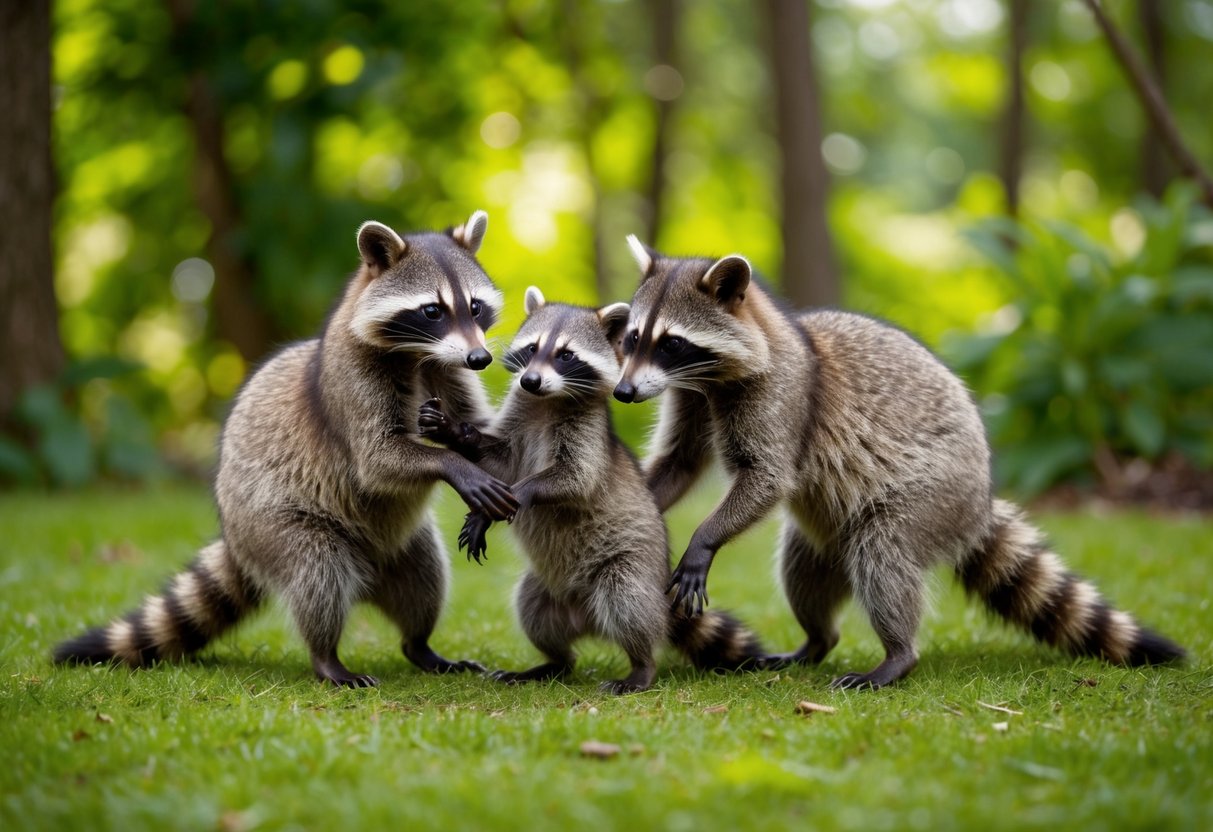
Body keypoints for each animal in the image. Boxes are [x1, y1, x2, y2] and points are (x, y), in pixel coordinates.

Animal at [53, 211, 519, 687]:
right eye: (432, 311)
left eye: (475, 307)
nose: (480, 358)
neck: (419, 354)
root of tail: (234, 538)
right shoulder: (351, 379)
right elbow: (376, 460)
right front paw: (454, 465)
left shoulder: (449, 373)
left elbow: (493, 438)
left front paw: (465, 445)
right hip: (274, 525)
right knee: (319, 575)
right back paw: (326, 657)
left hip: (402, 546)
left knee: (425, 580)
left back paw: (420, 644)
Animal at [418, 287, 764, 693]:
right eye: (532, 348)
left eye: (566, 355)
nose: (530, 381)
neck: (546, 401)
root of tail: (586, 620)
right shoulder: (520, 416)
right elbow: (498, 462)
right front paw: (456, 434)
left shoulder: (586, 431)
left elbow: (575, 478)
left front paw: (514, 496)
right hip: (545, 590)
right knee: (534, 611)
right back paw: (553, 662)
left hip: (631, 568)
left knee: (627, 599)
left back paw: (642, 664)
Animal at [612, 235, 1184, 689]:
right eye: (634, 337)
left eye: (672, 343)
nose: (622, 392)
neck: (711, 376)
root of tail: (980, 501)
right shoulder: (690, 396)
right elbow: (680, 463)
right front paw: (641, 501)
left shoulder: (780, 396)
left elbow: (768, 476)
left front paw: (704, 539)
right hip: (826, 537)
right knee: (803, 575)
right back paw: (816, 640)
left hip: (932, 493)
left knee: (883, 555)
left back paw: (898, 655)